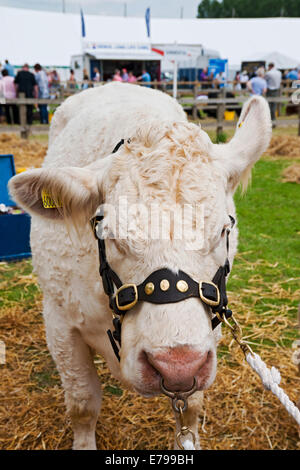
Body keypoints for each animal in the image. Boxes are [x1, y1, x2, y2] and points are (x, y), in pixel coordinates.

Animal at [9, 82, 272, 450]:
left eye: (223, 231)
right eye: (111, 235)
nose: (177, 366)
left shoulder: (209, 327)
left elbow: (190, 409)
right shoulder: (59, 322)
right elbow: (82, 402)